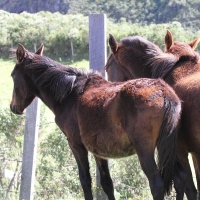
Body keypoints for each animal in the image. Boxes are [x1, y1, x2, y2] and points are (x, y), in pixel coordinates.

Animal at [9, 43, 182, 200]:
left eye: (12, 75)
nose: (13, 107)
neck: (70, 93)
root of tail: (165, 93)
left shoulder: (76, 145)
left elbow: (85, 180)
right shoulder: (98, 150)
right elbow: (107, 183)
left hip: (145, 150)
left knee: (157, 184)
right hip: (170, 148)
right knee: (180, 180)